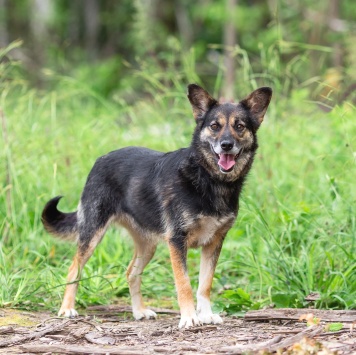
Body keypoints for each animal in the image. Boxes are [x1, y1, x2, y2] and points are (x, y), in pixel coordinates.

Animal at [43, 83, 274, 328]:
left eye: (240, 126)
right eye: (214, 126)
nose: (226, 145)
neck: (207, 179)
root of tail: (101, 159)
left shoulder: (214, 243)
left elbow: (205, 285)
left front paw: (206, 314)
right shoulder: (177, 241)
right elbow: (184, 284)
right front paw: (189, 317)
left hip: (148, 244)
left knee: (131, 273)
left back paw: (139, 311)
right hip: (92, 233)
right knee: (73, 270)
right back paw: (67, 309)